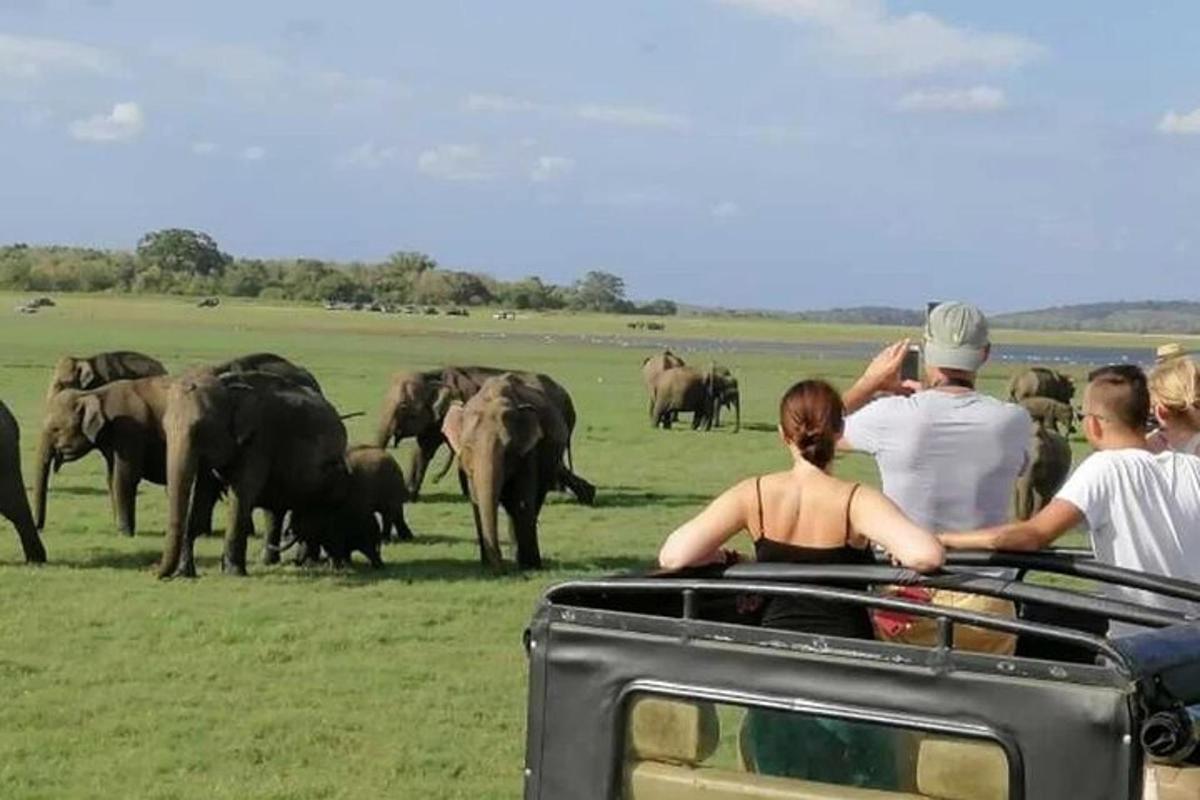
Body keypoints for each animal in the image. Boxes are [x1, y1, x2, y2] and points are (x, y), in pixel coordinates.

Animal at [33, 376, 171, 537]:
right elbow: (111, 478)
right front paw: (119, 529)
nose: (39, 529)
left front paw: (125, 534)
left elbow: (125, 476)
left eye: (56, 429)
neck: (93, 394)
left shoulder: (128, 430)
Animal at [157, 369, 350, 575]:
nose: (157, 574)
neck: (228, 388)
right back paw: (272, 562)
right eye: (164, 428)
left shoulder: (258, 442)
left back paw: (310, 563)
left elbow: (241, 495)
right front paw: (185, 573)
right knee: (276, 512)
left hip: (328, 478)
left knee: (314, 512)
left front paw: (233, 573)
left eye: (200, 428)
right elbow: (202, 497)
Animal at [374, 367, 590, 503]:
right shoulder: (436, 419)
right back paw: (582, 494)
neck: (434, 376)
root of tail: (567, 397)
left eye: (403, 407)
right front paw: (409, 496)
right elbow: (423, 451)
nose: (436, 479)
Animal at [441, 374, 571, 568]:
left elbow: (523, 501)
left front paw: (529, 567)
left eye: (508, 450)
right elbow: (476, 501)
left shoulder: (529, 452)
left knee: (533, 501)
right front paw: (486, 565)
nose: (501, 567)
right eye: (468, 447)